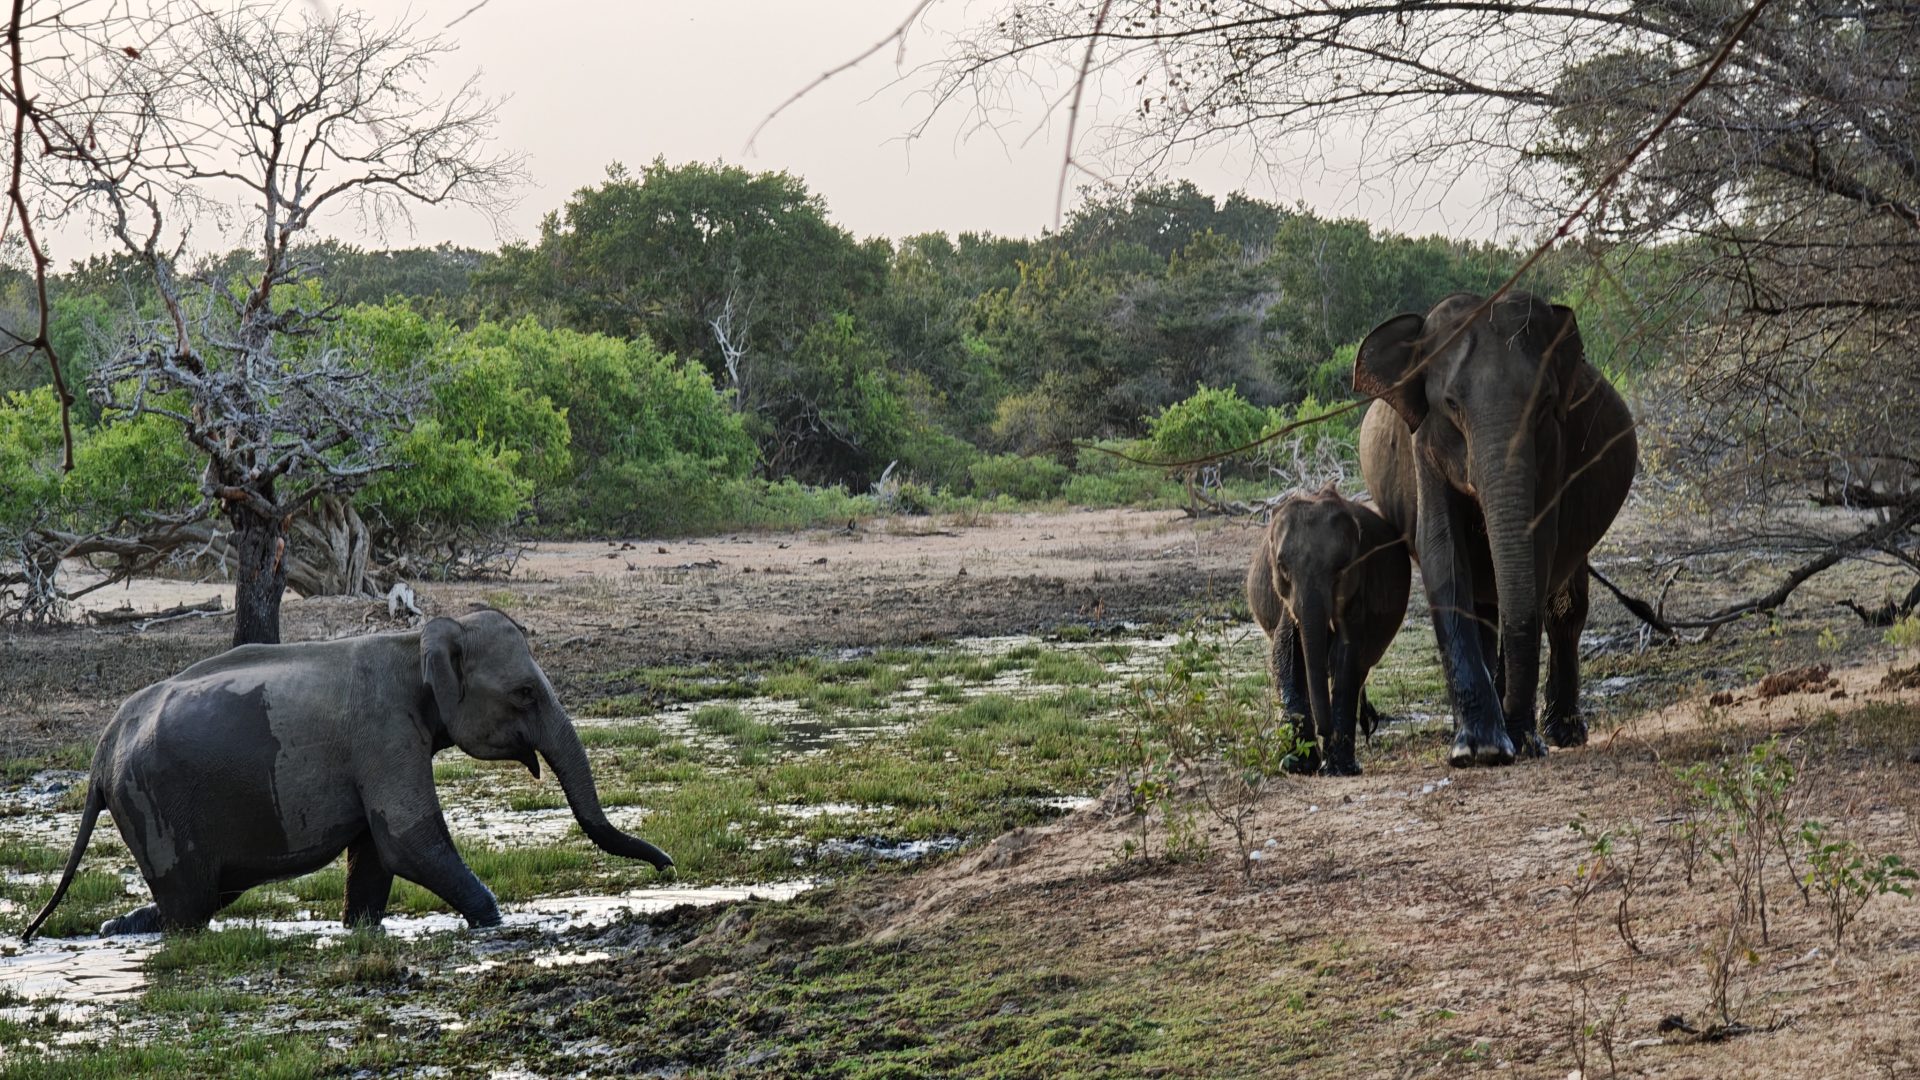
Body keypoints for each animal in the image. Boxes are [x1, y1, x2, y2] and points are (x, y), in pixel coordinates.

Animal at [22, 609, 672, 941]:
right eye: (525, 694)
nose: (668, 869)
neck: (418, 639)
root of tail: (101, 752)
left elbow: (376, 854)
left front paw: (361, 930)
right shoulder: (383, 732)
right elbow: (408, 841)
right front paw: (493, 924)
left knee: (200, 900)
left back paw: (117, 928)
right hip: (152, 802)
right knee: (194, 903)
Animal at [1246, 487, 1411, 775]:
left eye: (1341, 568)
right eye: (1282, 567)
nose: (1325, 730)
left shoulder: (1359, 586)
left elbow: (1348, 654)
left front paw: (1339, 768)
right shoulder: (1286, 599)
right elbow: (1286, 650)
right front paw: (1298, 765)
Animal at [1354, 291, 1636, 767]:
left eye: (1545, 402)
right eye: (1451, 404)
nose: (1517, 740)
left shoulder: (1553, 446)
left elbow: (1538, 549)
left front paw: (1518, 742)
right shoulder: (1422, 443)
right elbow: (1442, 552)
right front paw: (1478, 749)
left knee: (1565, 607)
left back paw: (1562, 732)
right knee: (1487, 605)